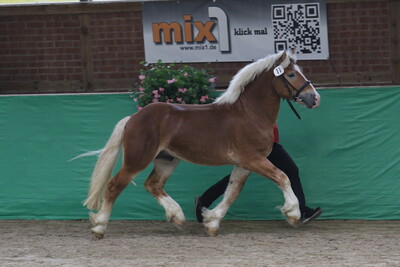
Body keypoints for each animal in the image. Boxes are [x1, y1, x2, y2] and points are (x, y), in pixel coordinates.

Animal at [85, 50, 322, 239]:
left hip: (167, 159)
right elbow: (283, 176)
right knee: (114, 186)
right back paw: (99, 227)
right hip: (137, 160)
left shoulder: (244, 164)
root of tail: (133, 118)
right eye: (291, 74)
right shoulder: (254, 159)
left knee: (153, 184)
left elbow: (232, 191)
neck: (249, 114)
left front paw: (212, 222)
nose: (315, 98)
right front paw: (293, 213)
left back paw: (177, 216)